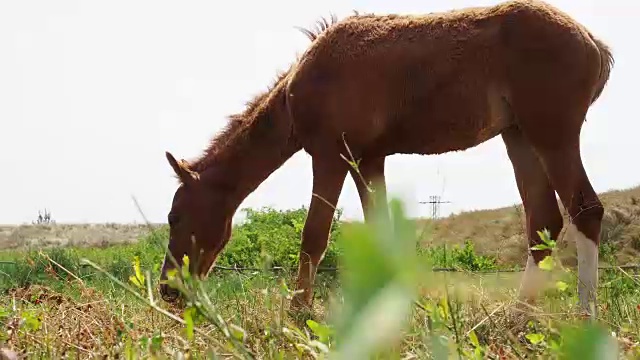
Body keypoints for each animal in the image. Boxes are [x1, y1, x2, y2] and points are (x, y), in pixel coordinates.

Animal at [158, 0, 612, 316]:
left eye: (174, 217)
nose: (168, 289)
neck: (300, 86)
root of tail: (595, 43)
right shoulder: (370, 159)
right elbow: (381, 234)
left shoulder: (331, 155)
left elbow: (313, 236)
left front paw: (297, 316)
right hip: (517, 137)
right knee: (543, 221)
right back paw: (517, 320)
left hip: (552, 134)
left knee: (584, 208)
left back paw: (583, 317)